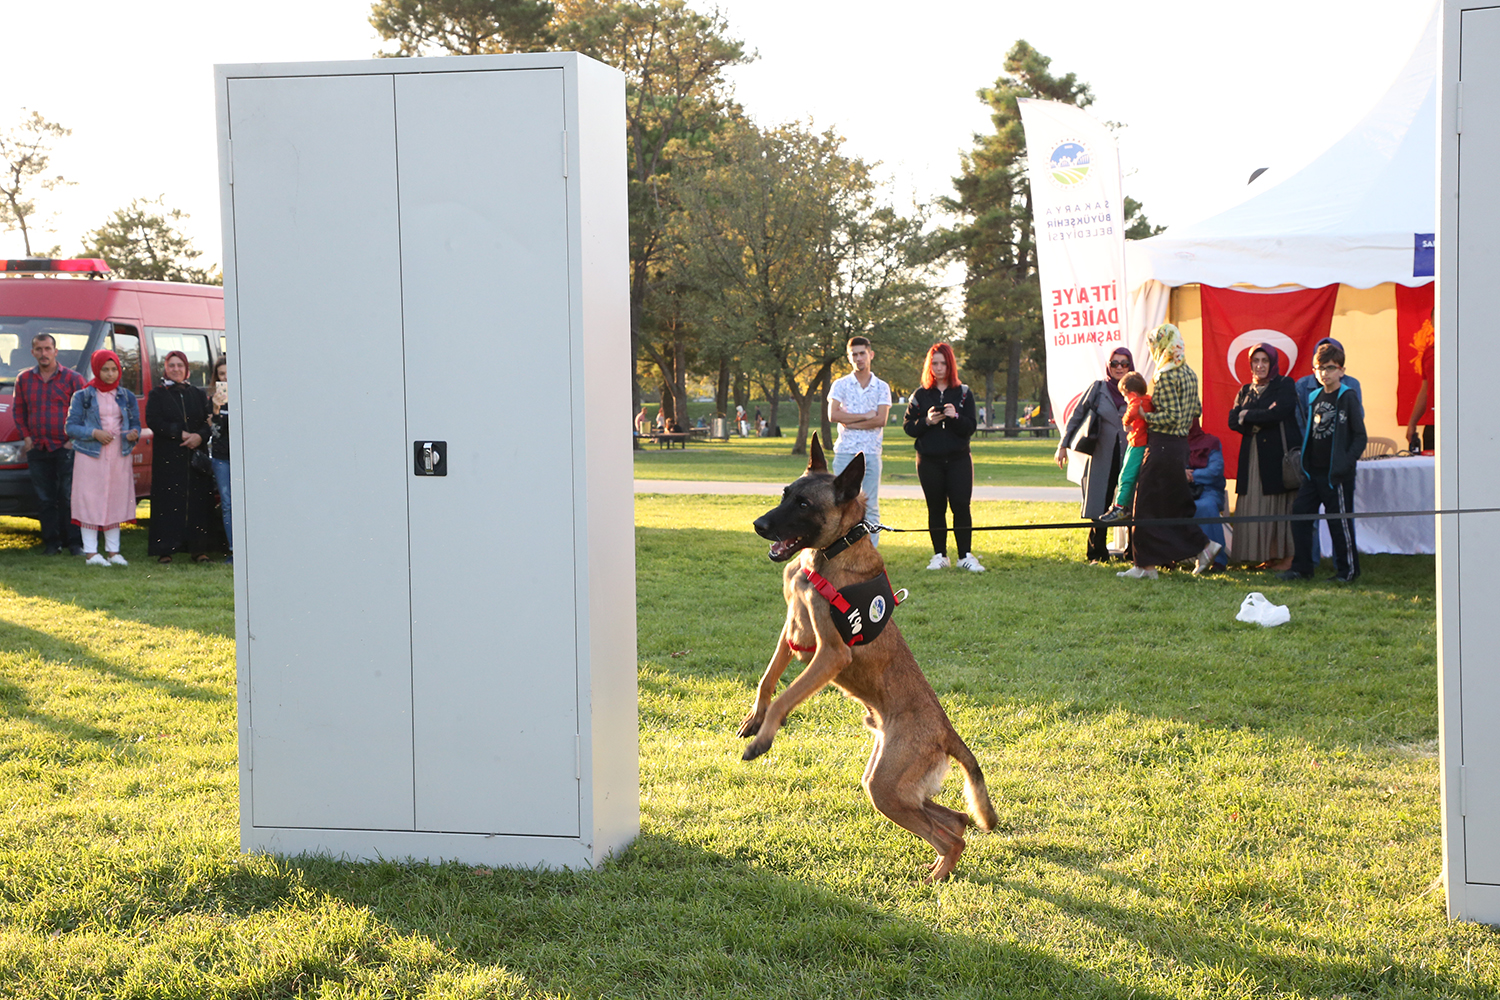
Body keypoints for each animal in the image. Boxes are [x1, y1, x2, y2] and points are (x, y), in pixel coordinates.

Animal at [741, 437, 996, 881]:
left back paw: (937, 878)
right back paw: (939, 866)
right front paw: (756, 719)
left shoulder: (829, 655)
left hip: (886, 788)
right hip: (891, 784)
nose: (758, 525)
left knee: (953, 835)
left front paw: (764, 738)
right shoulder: (792, 634)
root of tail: (946, 731)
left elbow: (787, 696)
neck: (830, 555)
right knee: (958, 820)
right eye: (785, 494)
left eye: (804, 504)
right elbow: (768, 680)